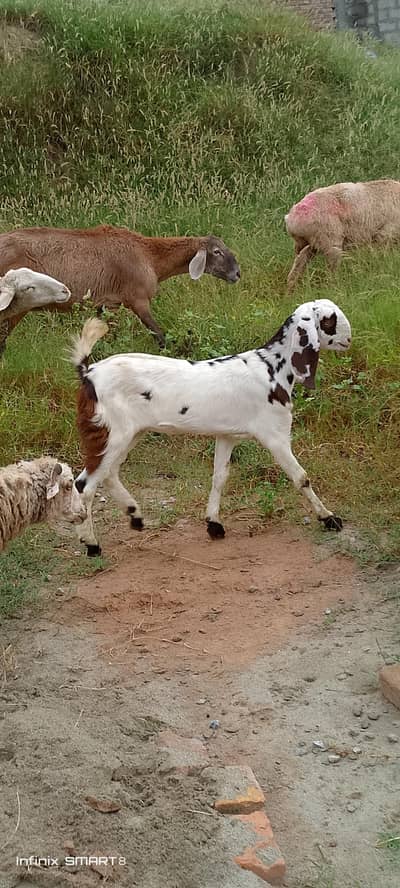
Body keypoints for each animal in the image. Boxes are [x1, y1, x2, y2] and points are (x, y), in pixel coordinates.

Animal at [0, 225, 241, 351]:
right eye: (217, 252)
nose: (237, 273)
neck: (150, 257)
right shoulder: (138, 299)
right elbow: (159, 335)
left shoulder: (108, 304)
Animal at [70, 300, 352, 556]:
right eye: (329, 320)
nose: (349, 339)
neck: (272, 368)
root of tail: (88, 373)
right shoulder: (275, 435)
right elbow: (301, 477)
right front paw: (329, 518)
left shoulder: (227, 435)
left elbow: (219, 477)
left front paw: (214, 524)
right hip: (112, 434)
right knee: (85, 484)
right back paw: (92, 545)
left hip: (127, 434)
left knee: (109, 473)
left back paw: (135, 516)